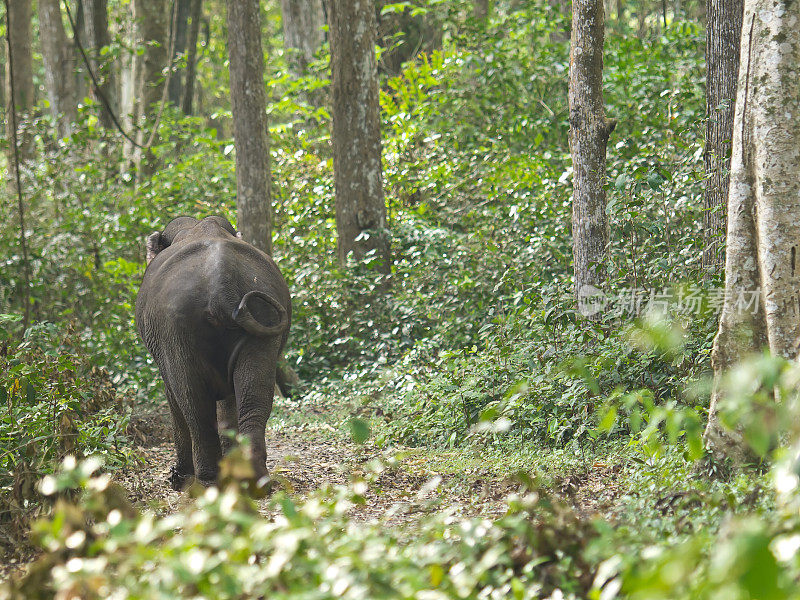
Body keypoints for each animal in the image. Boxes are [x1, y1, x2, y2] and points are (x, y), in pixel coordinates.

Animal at [134, 213, 290, 490]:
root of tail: (222, 286)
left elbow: (173, 395)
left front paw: (177, 477)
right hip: (263, 317)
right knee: (255, 396)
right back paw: (254, 479)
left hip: (176, 330)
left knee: (193, 405)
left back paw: (206, 482)